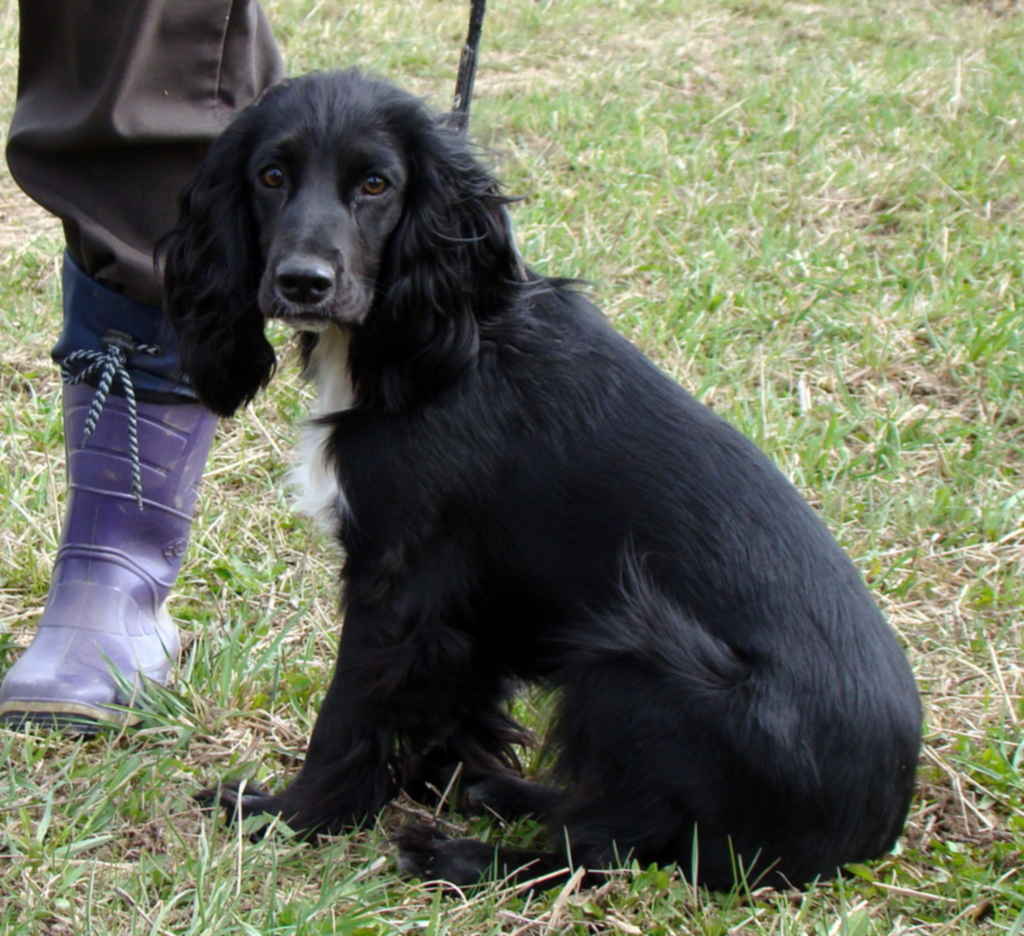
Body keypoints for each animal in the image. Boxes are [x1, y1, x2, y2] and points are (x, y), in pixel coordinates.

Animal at [163, 67, 925, 888]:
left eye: (375, 183)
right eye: (270, 176)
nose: (303, 282)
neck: (429, 346)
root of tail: (872, 831)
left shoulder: (401, 579)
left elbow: (349, 715)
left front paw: (288, 816)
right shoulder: (469, 607)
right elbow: (457, 706)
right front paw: (440, 777)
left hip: (634, 658)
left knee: (610, 847)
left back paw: (461, 853)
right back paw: (503, 795)